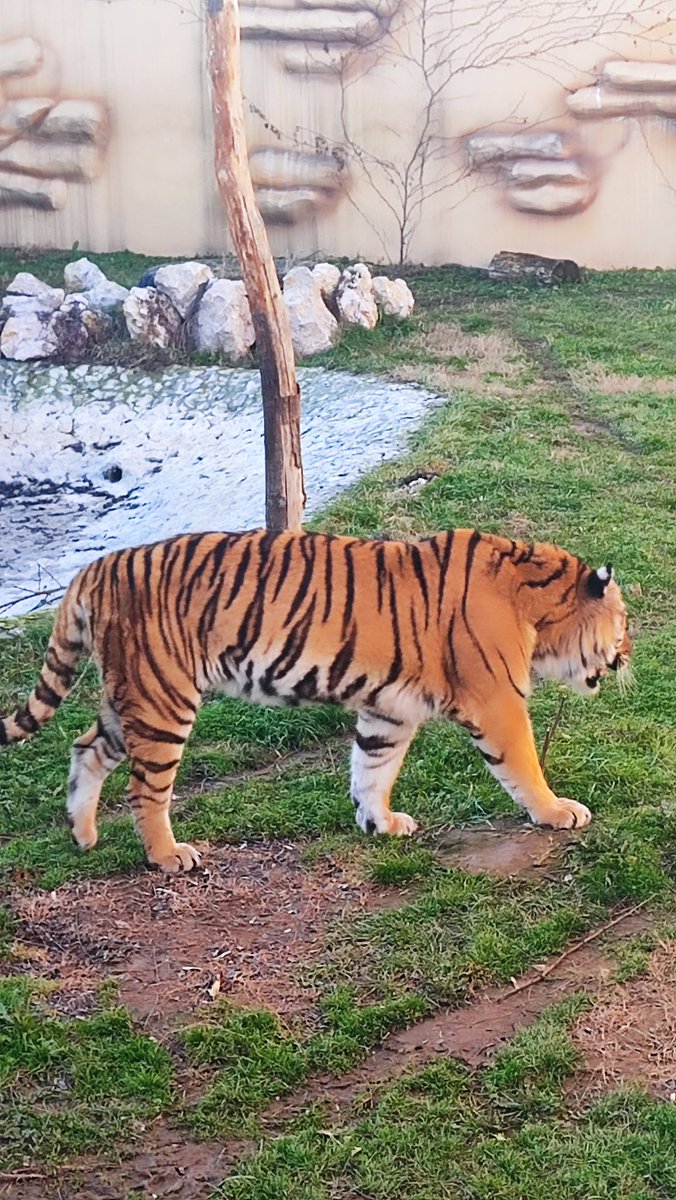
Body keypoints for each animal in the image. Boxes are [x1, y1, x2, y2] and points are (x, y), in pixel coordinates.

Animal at [0, 528, 631, 873]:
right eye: (623, 624)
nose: (630, 654)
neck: (537, 603)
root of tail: (95, 567)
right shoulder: (497, 701)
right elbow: (524, 765)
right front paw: (557, 812)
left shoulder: (389, 709)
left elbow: (373, 768)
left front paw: (380, 824)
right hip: (162, 699)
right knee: (144, 788)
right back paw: (168, 855)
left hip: (129, 695)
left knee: (86, 748)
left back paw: (83, 836)